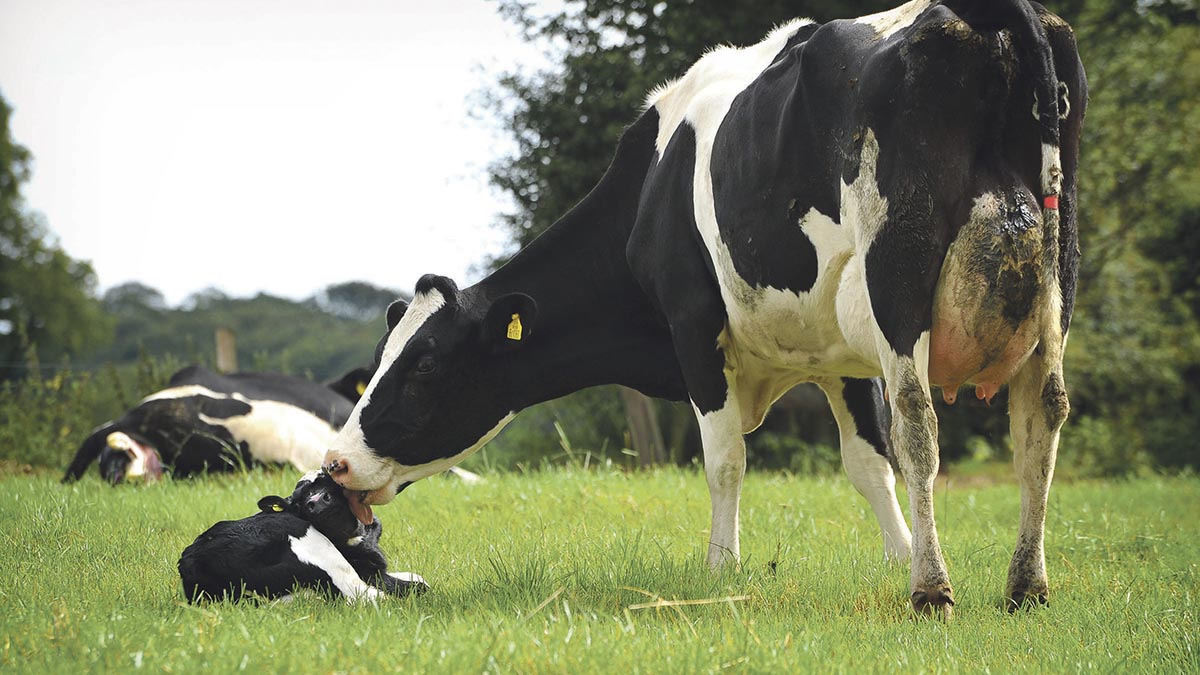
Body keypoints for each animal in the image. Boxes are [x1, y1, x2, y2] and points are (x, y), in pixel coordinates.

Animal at [321, 0, 1089, 614]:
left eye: (423, 366)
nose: (335, 464)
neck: (645, 193)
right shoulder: (833, 354)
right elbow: (867, 463)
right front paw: (897, 554)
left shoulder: (695, 327)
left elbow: (725, 460)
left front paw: (723, 569)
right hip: (1055, 276)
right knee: (1041, 419)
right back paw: (1026, 586)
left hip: (898, 278)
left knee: (921, 424)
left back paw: (933, 589)